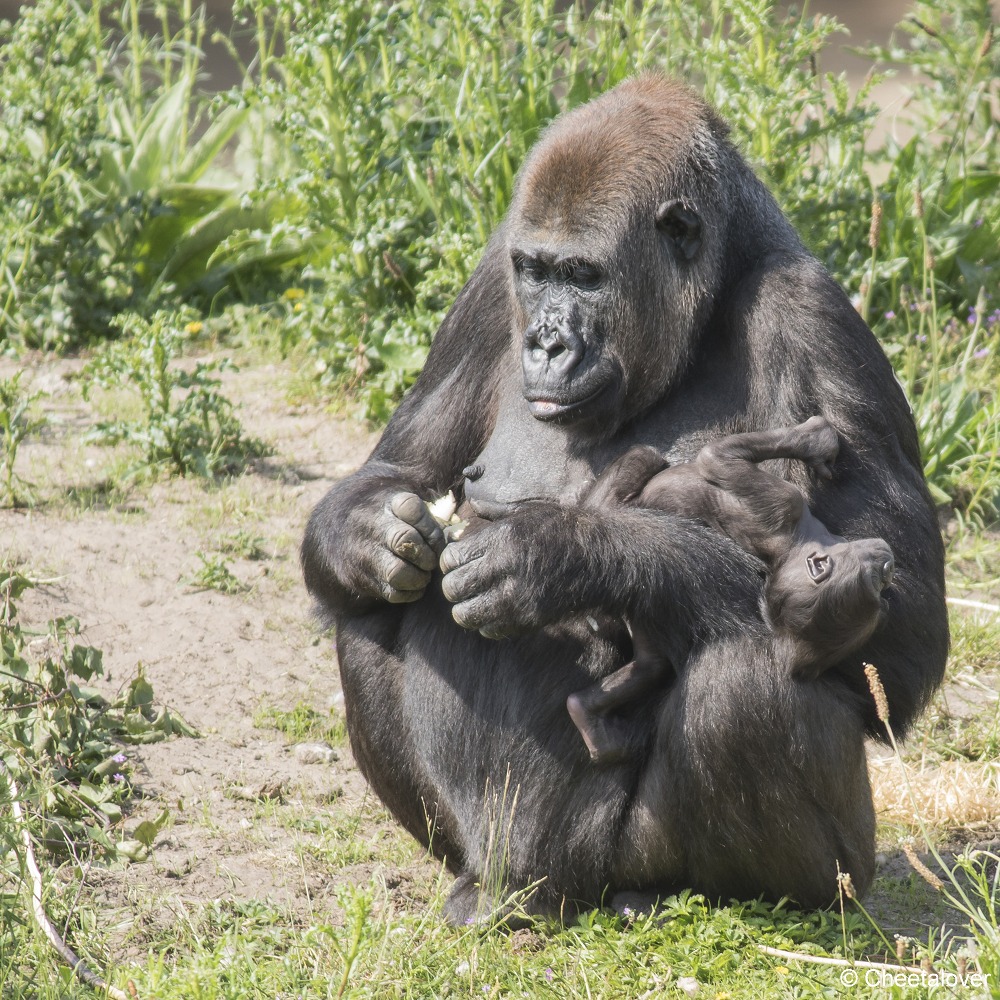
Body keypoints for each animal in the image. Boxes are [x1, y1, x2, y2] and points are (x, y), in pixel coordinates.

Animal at [568, 414, 896, 764]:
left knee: (649, 663)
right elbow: (718, 458)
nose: (887, 570)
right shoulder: (785, 504)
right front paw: (815, 439)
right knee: (646, 458)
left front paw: (815, 439)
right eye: (874, 583)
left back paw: (586, 714)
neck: (794, 547)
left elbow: (716, 459)